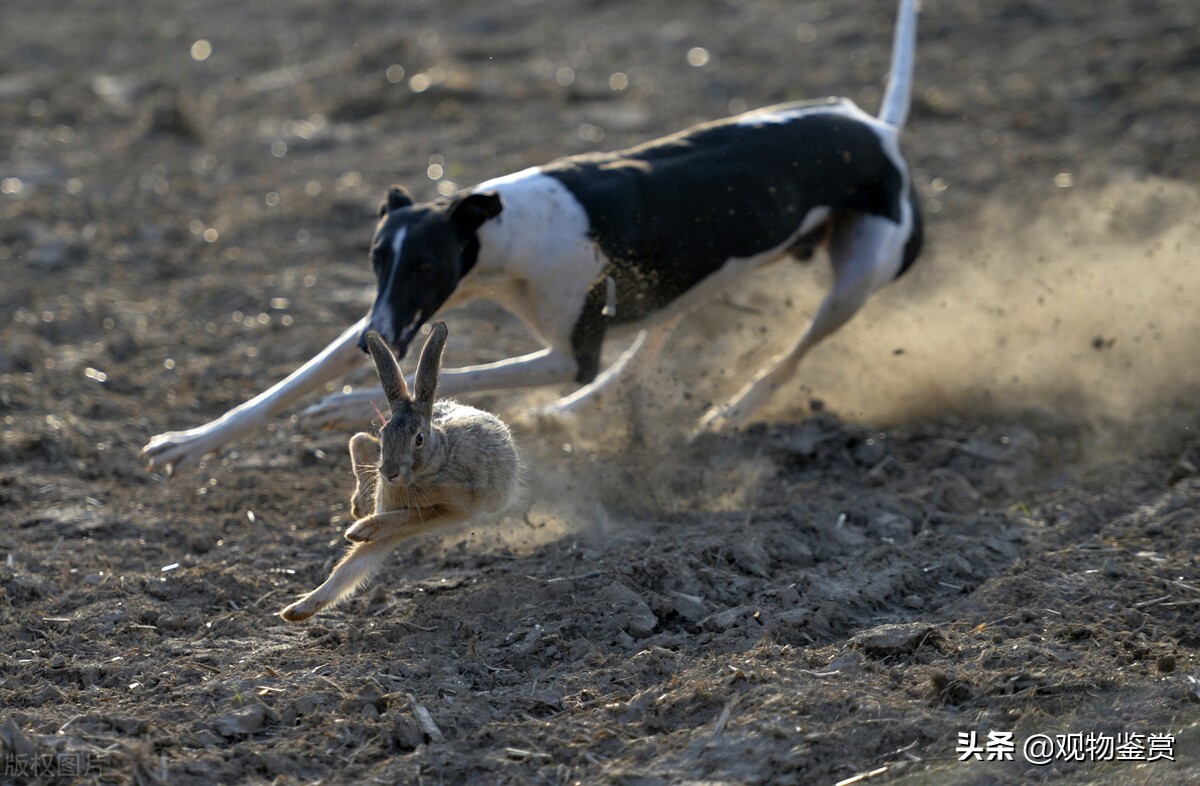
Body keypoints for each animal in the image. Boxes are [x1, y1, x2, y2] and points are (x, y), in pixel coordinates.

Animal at [142, 0, 926, 477]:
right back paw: (579, 410)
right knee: (654, 339)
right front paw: (188, 443)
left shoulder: (559, 350)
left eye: (427, 264)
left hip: (855, 282)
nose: (381, 339)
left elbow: (469, 373)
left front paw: (343, 405)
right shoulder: (398, 310)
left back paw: (730, 409)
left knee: (789, 356)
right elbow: (282, 386)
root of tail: (877, 128)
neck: (510, 228)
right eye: (376, 259)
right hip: (690, 280)